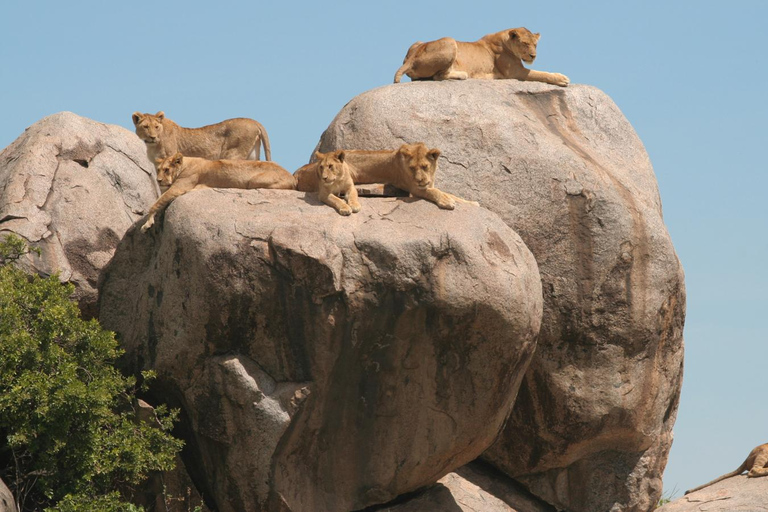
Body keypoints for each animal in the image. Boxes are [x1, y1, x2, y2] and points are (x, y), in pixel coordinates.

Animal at [132, 111, 272, 164]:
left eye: (156, 127)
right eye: (145, 127)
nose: (152, 137)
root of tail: (254, 121)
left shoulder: (170, 156)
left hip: (232, 153)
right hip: (252, 155)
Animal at [140, 151, 296, 233]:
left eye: (167, 169)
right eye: (158, 169)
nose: (159, 180)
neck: (185, 164)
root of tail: (292, 177)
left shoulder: (179, 187)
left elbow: (155, 203)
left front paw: (147, 224)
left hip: (253, 181)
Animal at [296, 142, 480, 210]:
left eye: (425, 166)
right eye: (412, 168)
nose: (420, 180)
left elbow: (452, 194)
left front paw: (471, 203)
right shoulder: (414, 189)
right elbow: (435, 192)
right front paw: (446, 202)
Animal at [392, 26, 568, 87]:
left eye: (535, 44)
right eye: (525, 43)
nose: (533, 55)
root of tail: (410, 59)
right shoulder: (516, 72)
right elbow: (541, 74)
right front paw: (561, 78)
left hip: (417, 42)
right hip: (449, 40)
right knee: (438, 76)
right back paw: (462, 74)